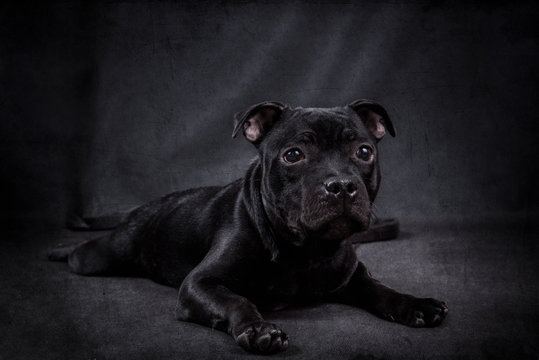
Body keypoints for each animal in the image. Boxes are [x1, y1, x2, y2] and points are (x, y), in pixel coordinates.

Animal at [49, 100, 448, 352]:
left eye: (364, 152)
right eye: (293, 155)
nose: (341, 185)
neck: (304, 250)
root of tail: (147, 206)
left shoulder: (352, 277)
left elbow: (380, 289)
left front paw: (414, 304)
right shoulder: (200, 284)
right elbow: (235, 299)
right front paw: (257, 329)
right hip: (103, 256)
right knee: (83, 253)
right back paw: (60, 250)